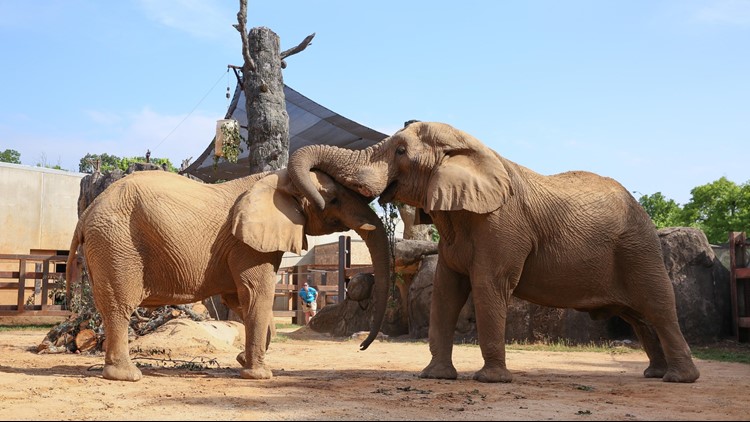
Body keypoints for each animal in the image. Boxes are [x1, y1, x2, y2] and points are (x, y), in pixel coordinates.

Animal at [65, 169, 391, 382]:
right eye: (333, 200)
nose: (361, 346)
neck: (278, 179)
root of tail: (86, 213)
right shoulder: (247, 244)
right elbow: (257, 294)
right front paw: (260, 375)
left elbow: (240, 300)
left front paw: (243, 361)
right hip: (116, 244)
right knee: (120, 307)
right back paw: (128, 376)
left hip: (108, 244)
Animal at [288, 121, 700, 383]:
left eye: (401, 151)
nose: (360, 348)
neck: (471, 149)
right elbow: (445, 291)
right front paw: (435, 377)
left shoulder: (502, 225)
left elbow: (489, 286)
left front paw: (491, 380)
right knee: (639, 318)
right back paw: (655, 374)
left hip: (638, 248)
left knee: (658, 307)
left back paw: (680, 379)